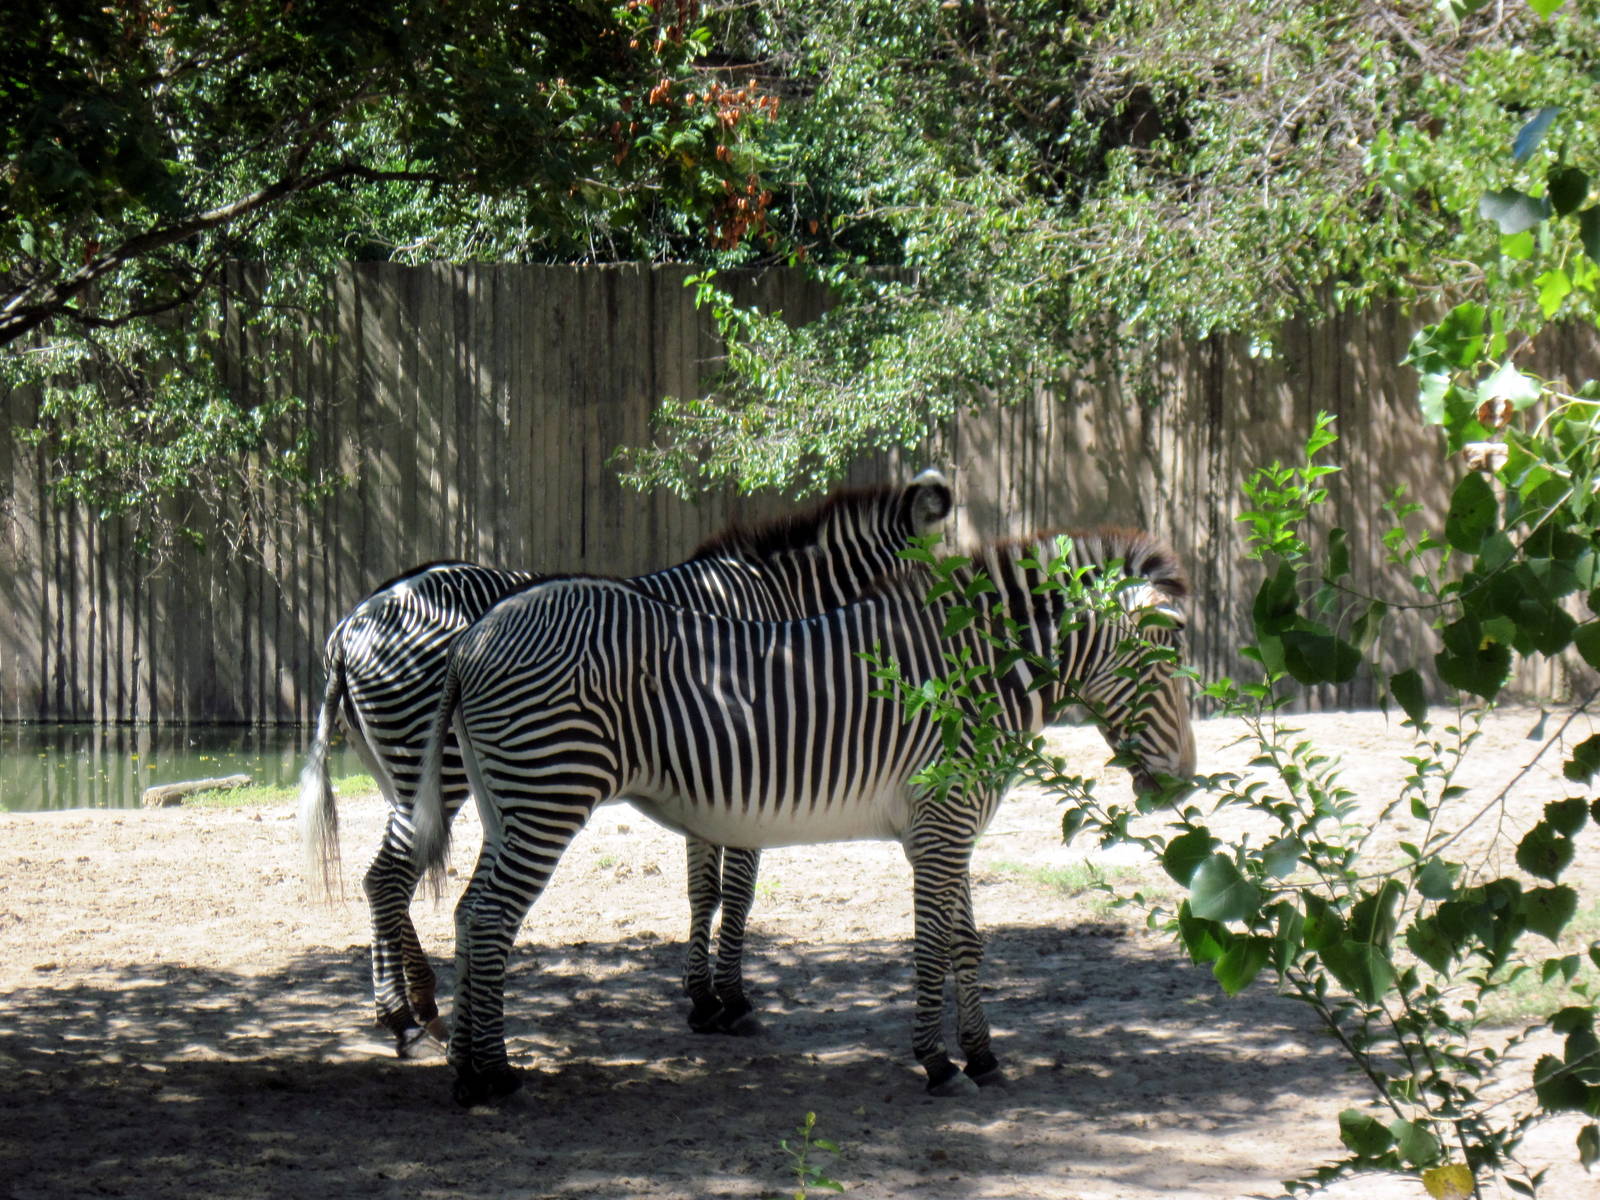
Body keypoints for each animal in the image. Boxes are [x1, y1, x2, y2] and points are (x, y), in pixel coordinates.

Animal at [297, 470, 955, 1056]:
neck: (785, 601)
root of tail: (350, 626)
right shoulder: (749, 763)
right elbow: (738, 891)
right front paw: (734, 1000)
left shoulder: (716, 777)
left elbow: (703, 890)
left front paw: (703, 1000)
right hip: (436, 768)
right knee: (388, 878)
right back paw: (400, 1015)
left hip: (402, 774)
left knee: (389, 879)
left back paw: (421, 1007)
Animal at [412, 526, 1195, 1106]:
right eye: (1162, 654)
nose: (1182, 788)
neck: (975, 678)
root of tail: (474, 636)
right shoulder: (942, 822)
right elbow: (931, 943)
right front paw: (937, 1063)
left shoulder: (951, 823)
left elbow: (967, 944)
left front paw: (982, 1056)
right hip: (550, 788)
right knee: (491, 919)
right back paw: (495, 1074)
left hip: (506, 799)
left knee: (469, 912)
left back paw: (465, 1071)